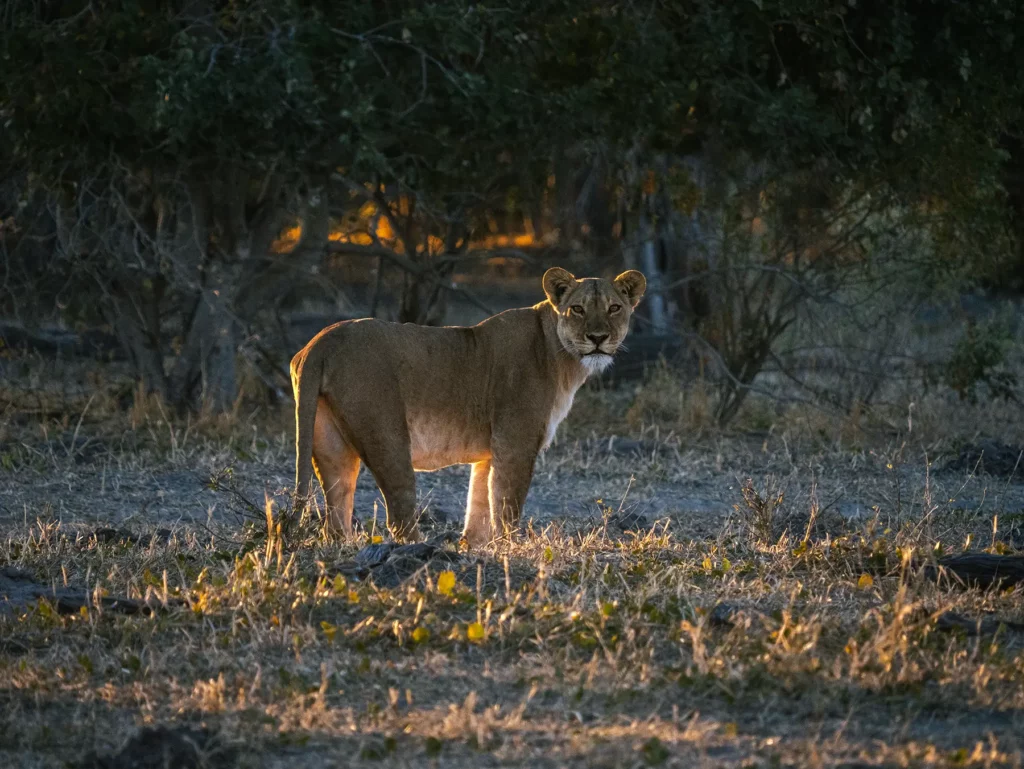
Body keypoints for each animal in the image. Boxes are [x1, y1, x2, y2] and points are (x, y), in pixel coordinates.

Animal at [289, 266, 646, 546]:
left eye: (614, 307)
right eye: (578, 309)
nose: (598, 338)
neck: (561, 356)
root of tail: (320, 340)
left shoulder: (491, 451)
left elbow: (479, 505)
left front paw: (474, 547)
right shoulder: (516, 443)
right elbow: (507, 505)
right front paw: (512, 549)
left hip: (330, 442)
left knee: (336, 516)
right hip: (386, 435)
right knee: (399, 516)